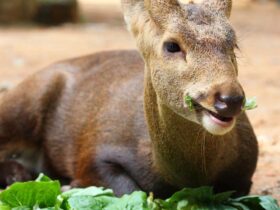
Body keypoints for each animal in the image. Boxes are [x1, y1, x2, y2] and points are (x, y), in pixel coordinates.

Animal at [0, 0, 258, 198]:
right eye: (172, 45)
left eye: (234, 44)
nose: (230, 99)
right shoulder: (95, 151)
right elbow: (129, 189)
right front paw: (70, 186)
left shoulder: (244, 176)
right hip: (24, 102)